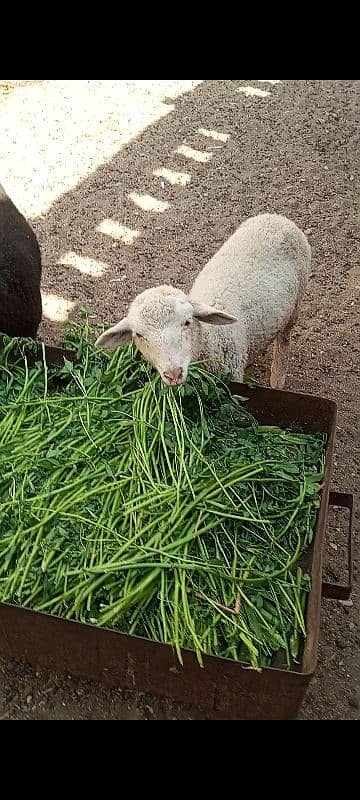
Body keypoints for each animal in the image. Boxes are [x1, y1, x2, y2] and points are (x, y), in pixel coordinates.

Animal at [97, 211, 310, 390]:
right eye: (139, 335)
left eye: (187, 322)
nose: (174, 374)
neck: (210, 337)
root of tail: (276, 217)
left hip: (297, 302)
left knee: (284, 339)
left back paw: (277, 378)